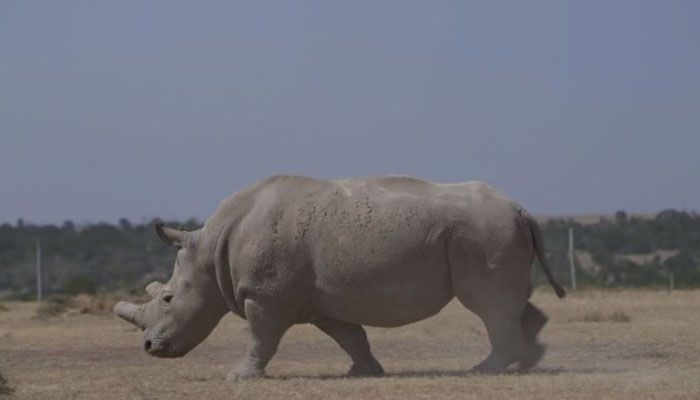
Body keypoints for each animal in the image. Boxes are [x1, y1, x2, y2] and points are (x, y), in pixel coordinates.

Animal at [114, 175, 565, 380]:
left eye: (167, 298)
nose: (149, 347)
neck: (209, 251)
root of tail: (521, 209)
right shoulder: (321, 302)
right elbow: (351, 336)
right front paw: (365, 373)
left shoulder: (264, 296)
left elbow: (261, 337)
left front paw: (240, 377)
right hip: (490, 231)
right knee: (508, 304)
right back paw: (527, 362)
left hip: (483, 233)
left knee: (489, 305)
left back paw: (482, 370)